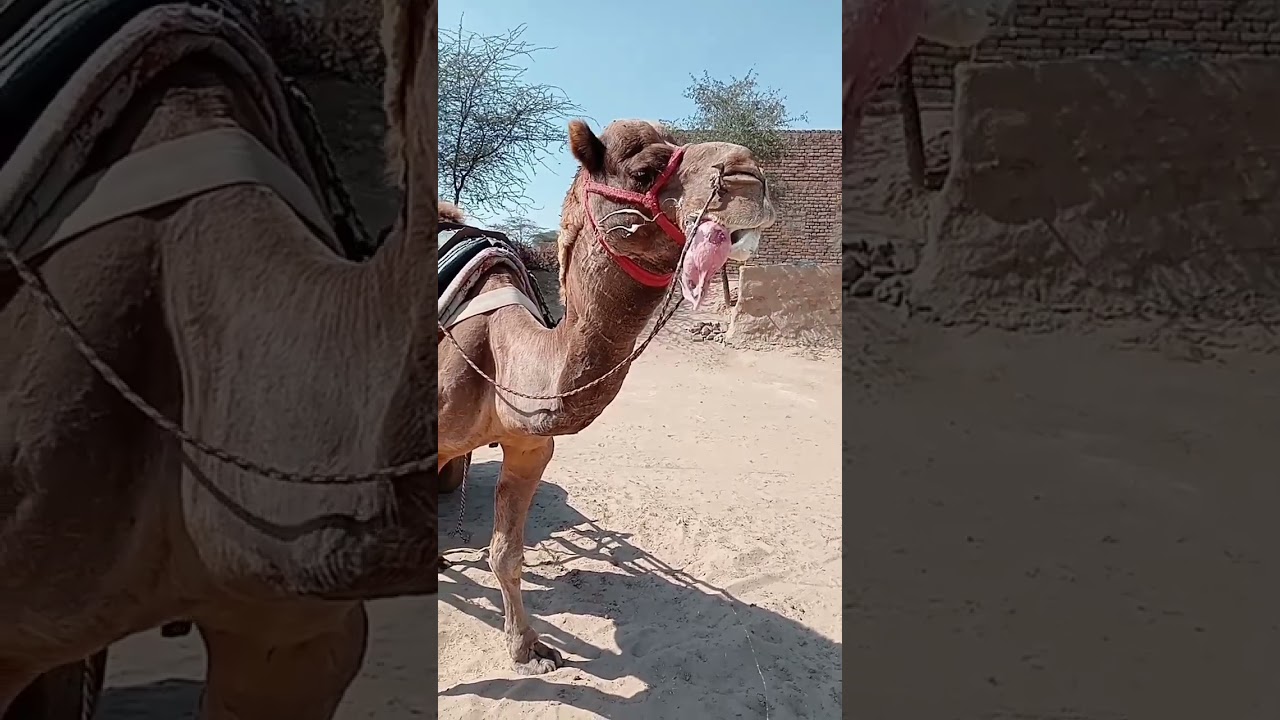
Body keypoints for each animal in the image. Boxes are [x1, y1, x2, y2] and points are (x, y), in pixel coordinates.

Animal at [438, 118, 777, 674]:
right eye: (644, 172)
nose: (750, 177)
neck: (500, 348)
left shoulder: (531, 445)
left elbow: (506, 553)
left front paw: (528, 651)